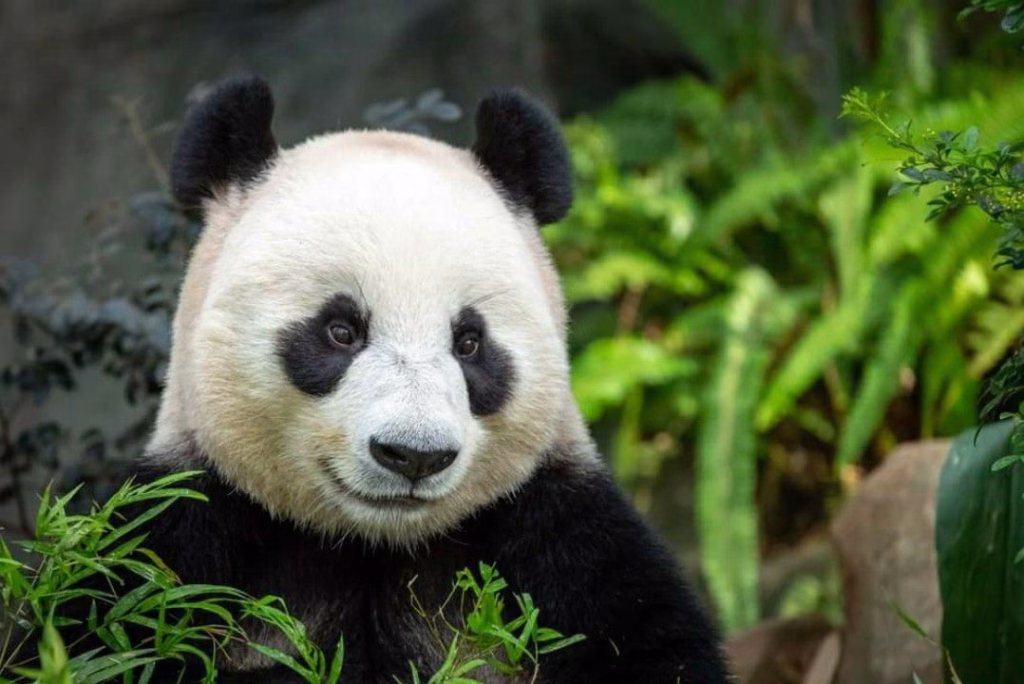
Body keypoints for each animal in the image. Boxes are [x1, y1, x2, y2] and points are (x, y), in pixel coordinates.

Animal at [118, 76, 728, 683]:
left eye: (469, 342)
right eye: (341, 331)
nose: (414, 455)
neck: (376, 545)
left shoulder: (564, 536)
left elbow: (647, 638)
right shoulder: (187, 532)